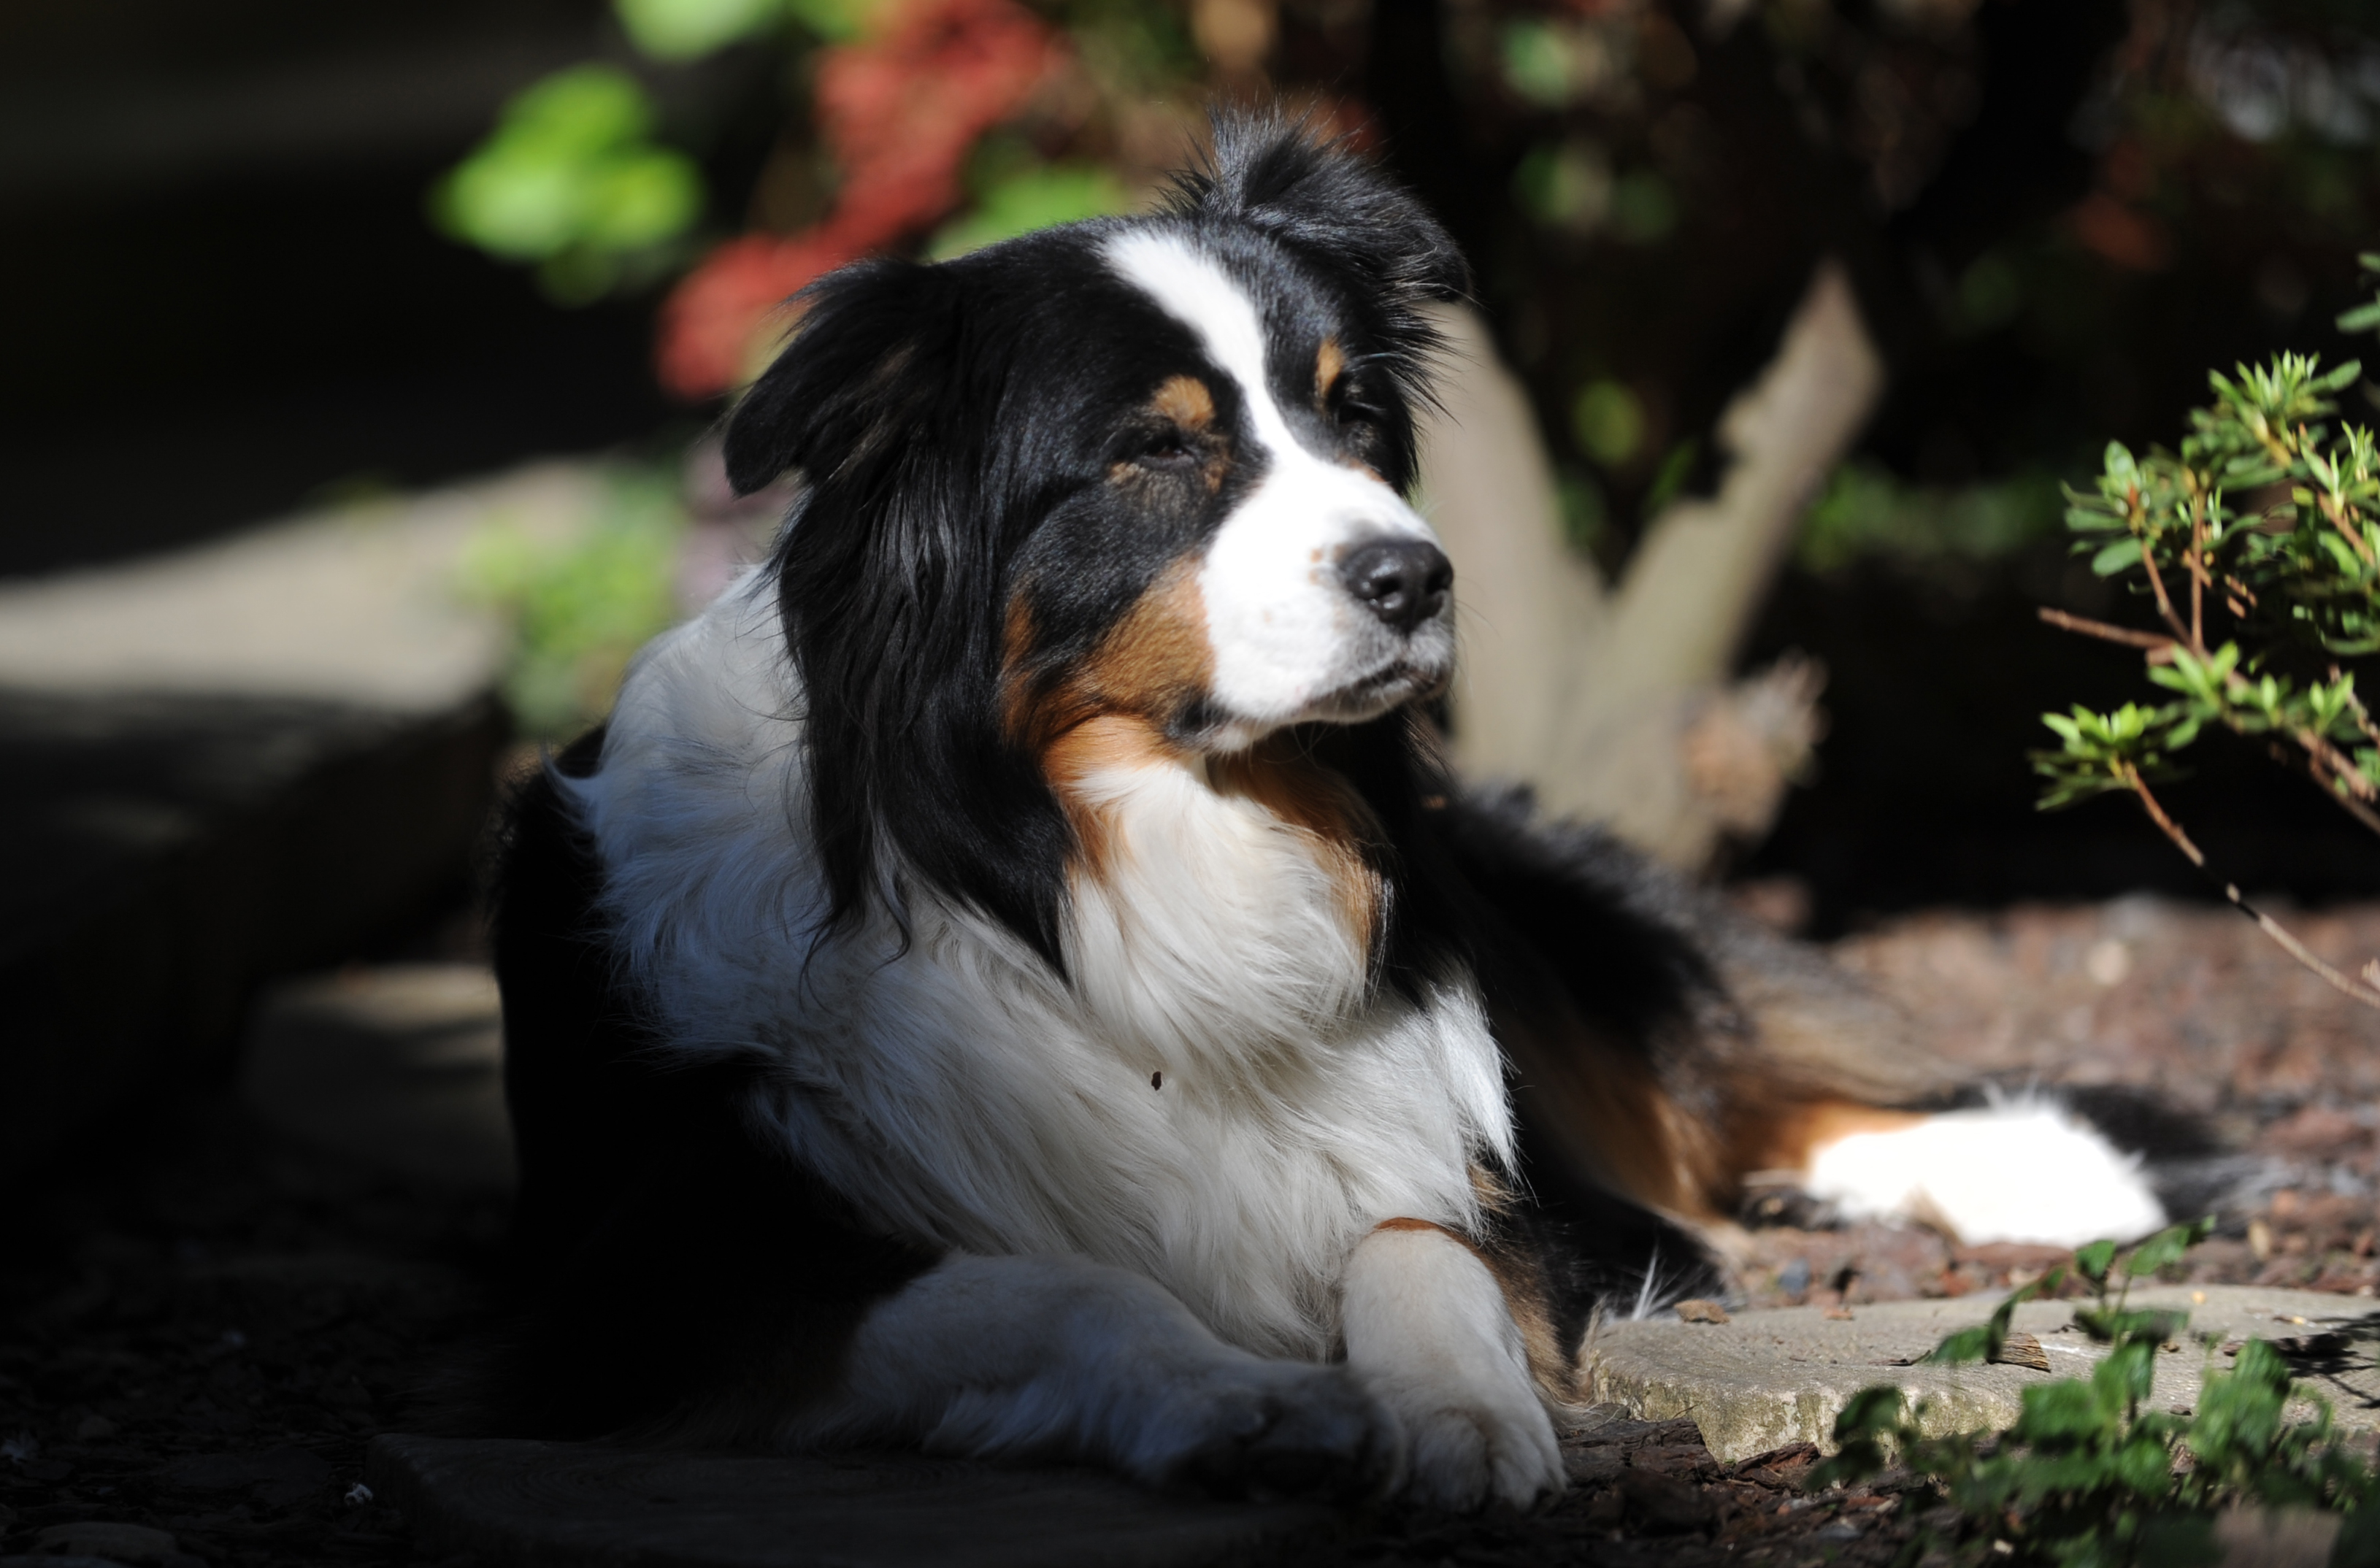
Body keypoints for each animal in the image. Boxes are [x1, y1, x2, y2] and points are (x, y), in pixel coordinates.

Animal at [487, 115, 2167, 1510]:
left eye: (1351, 413)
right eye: (1157, 450)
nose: (1417, 576)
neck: (1113, 851)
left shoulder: (1471, 1156)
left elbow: (1413, 1231)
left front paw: (1456, 1409)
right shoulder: (651, 1286)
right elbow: (1055, 1285)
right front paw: (1249, 1398)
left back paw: (2052, 1170)